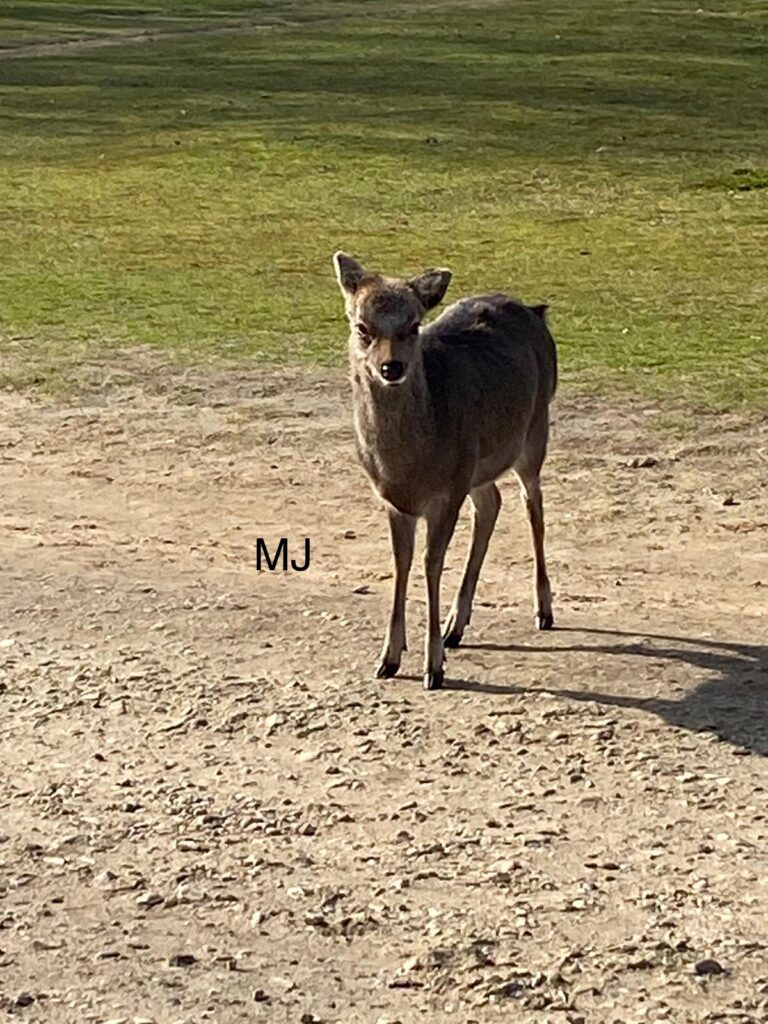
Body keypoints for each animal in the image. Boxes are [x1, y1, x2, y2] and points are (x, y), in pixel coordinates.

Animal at [332, 252, 557, 691]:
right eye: (362, 327)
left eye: (413, 326)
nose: (391, 367)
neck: (409, 470)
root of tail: (536, 312)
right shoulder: (395, 500)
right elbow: (400, 563)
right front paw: (388, 659)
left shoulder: (447, 494)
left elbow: (430, 564)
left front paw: (433, 668)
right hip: (477, 465)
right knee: (491, 503)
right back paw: (457, 625)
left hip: (534, 432)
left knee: (533, 506)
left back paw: (543, 610)